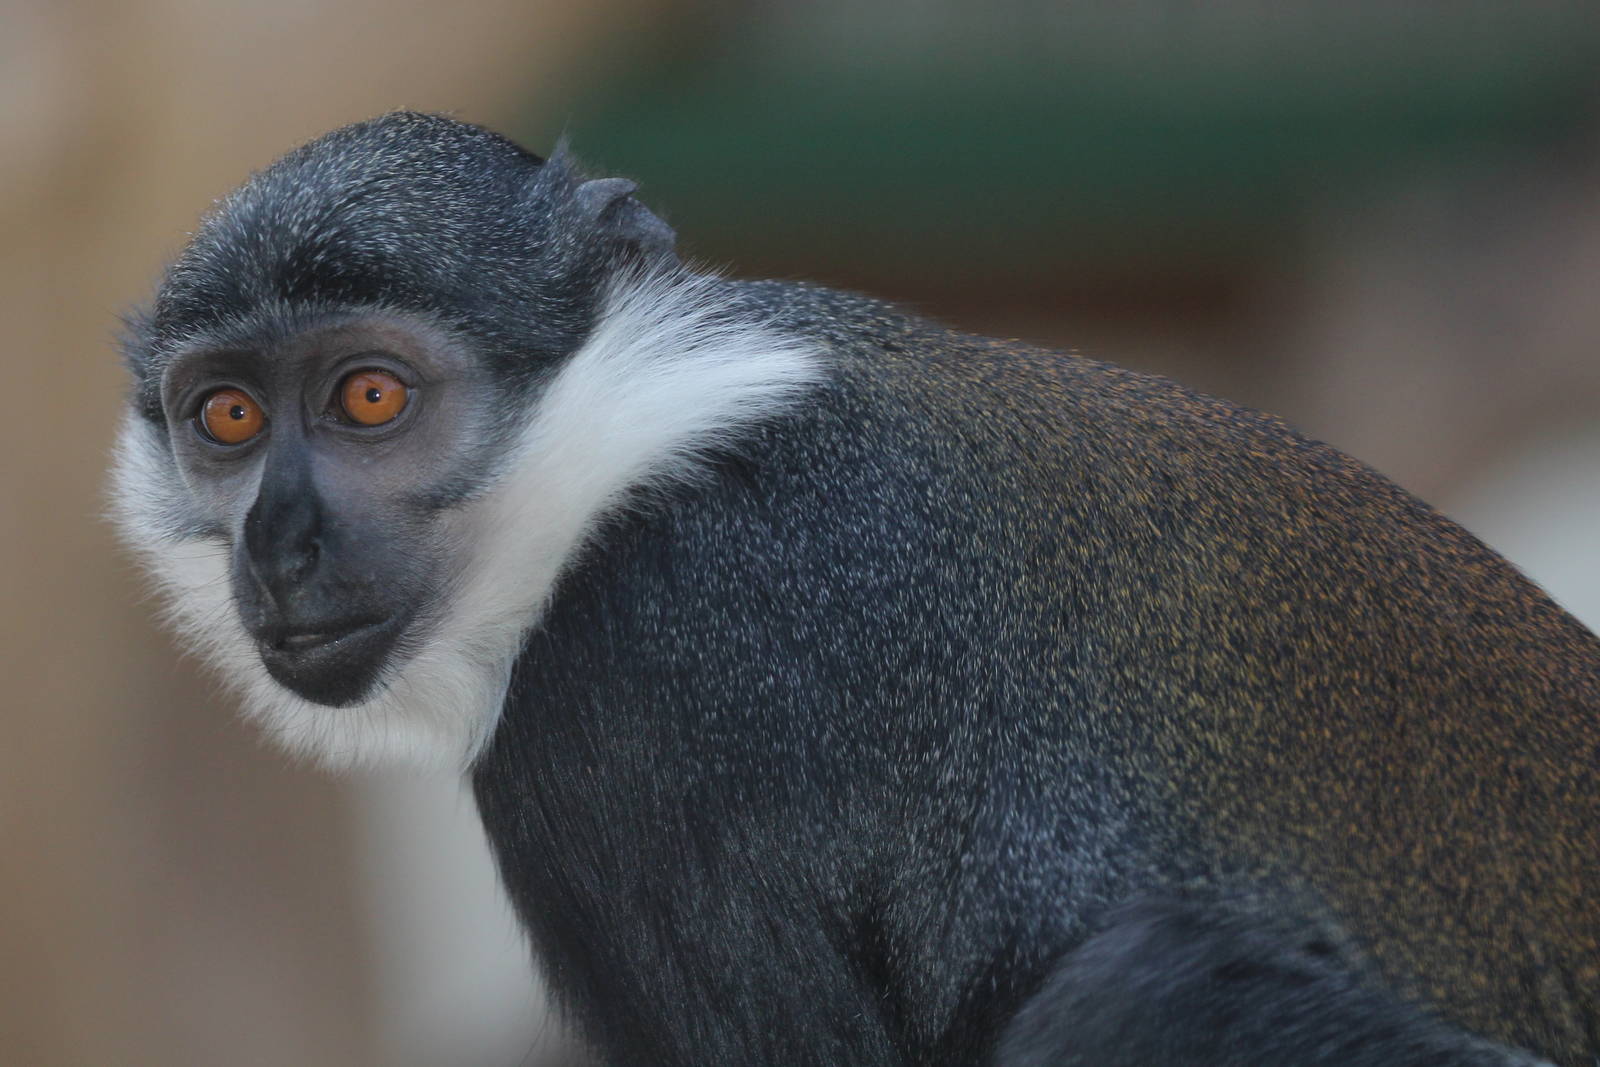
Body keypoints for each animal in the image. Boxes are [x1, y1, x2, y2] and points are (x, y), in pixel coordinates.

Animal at [110, 112, 1598, 1066]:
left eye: (369, 396)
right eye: (226, 417)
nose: (279, 542)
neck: (622, 455)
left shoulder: (634, 689)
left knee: (1135, 990)